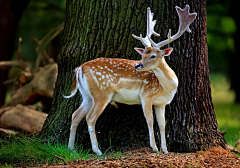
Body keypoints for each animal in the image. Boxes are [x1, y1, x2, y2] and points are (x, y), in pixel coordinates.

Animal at [64, 4, 197, 156]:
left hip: (87, 95)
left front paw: (165, 150)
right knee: (90, 118)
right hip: (101, 93)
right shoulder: (146, 95)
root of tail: (79, 68)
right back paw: (97, 151)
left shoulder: (161, 103)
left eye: (152, 55)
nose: (138, 65)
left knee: (75, 115)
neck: (167, 87)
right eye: (142, 54)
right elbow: (150, 121)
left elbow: (162, 125)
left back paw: (71, 148)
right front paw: (154, 147)